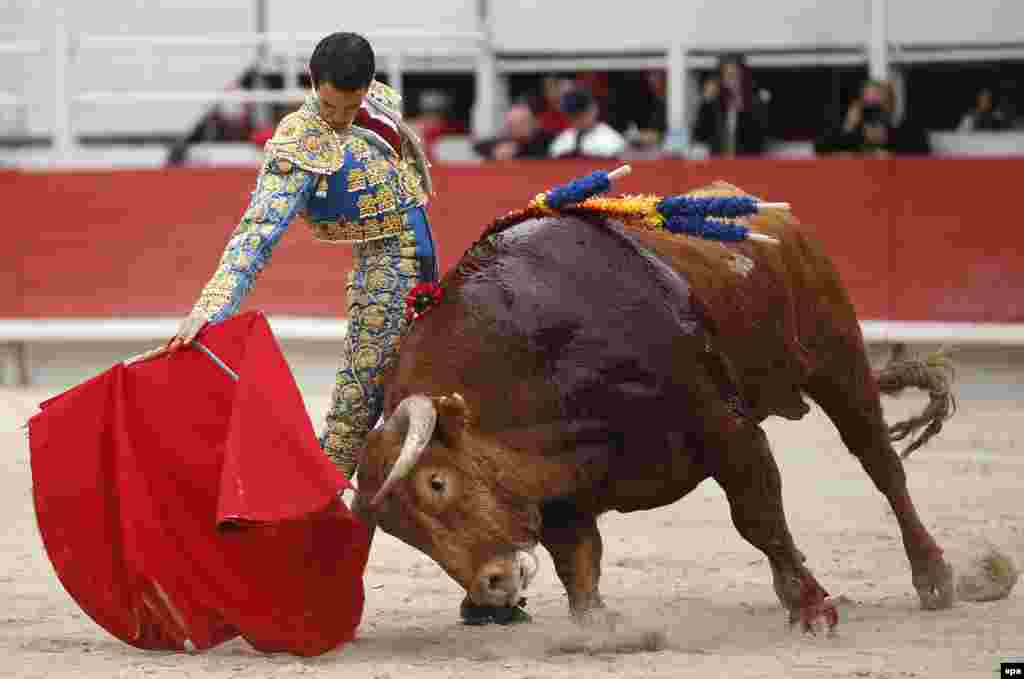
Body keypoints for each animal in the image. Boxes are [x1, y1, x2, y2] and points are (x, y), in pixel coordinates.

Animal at [354, 182, 958, 630]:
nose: (493, 584)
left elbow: (758, 517)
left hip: (838, 358)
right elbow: (578, 559)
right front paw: (597, 629)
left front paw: (811, 608)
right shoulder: (556, 487)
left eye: (437, 483)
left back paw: (933, 577)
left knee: (881, 464)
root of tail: (769, 211)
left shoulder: (726, 427)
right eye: (402, 532)